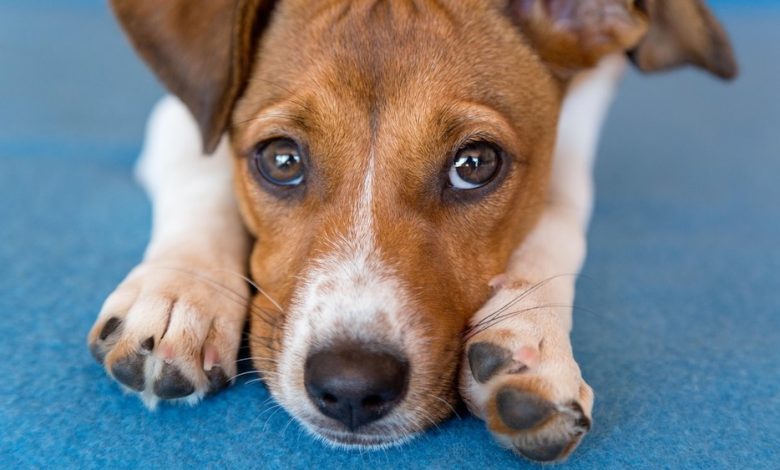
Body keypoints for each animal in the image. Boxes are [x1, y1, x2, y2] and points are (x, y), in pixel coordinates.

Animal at [87, 0, 736, 462]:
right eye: (281, 160)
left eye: (475, 164)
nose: (351, 388)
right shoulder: (182, 120)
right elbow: (204, 173)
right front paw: (181, 295)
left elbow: (558, 217)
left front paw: (533, 338)